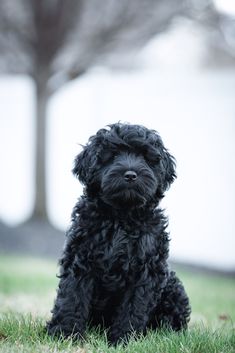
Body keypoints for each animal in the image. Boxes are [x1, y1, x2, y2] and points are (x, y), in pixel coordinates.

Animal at [46, 122, 191, 342]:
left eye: (145, 157)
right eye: (112, 155)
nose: (130, 175)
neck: (121, 217)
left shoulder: (146, 270)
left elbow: (133, 307)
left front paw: (123, 339)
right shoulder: (80, 260)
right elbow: (72, 297)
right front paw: (65, 334)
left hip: (174, 288)